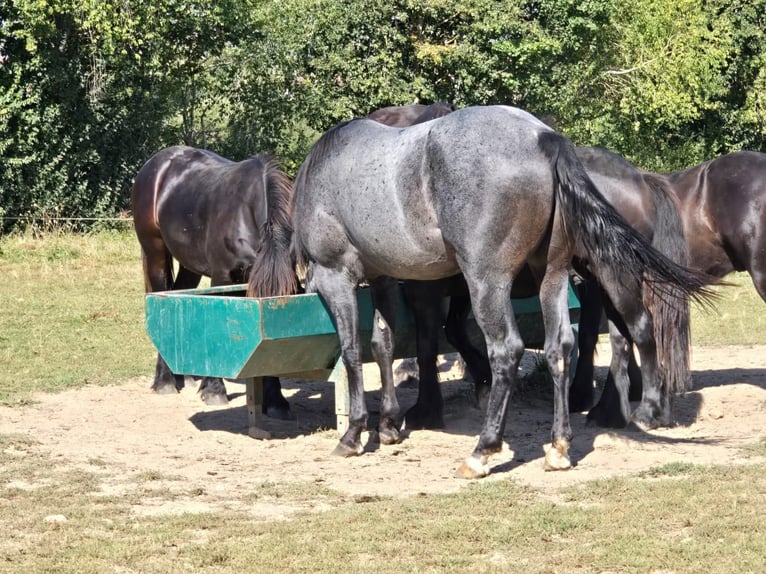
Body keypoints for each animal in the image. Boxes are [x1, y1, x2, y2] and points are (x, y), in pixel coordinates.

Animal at [129, 146, 296, 420]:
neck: (246, 215)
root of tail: (156, 164)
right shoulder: (223, 277)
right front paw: (214, 390)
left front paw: (275, 399)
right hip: (155, 254)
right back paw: (165, 381)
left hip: (188, 264)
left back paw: (183, 374)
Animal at [292, 104, 712, 482]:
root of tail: (545, 138)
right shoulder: (384, 279)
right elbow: (383, 344)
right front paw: (389, 425)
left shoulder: (337, 277)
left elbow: (352, 351)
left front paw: (354, 432)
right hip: (554, 276)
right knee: (565, 346)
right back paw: (563, 444)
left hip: (496, 282)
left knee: (514, 350)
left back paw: (484, 449)